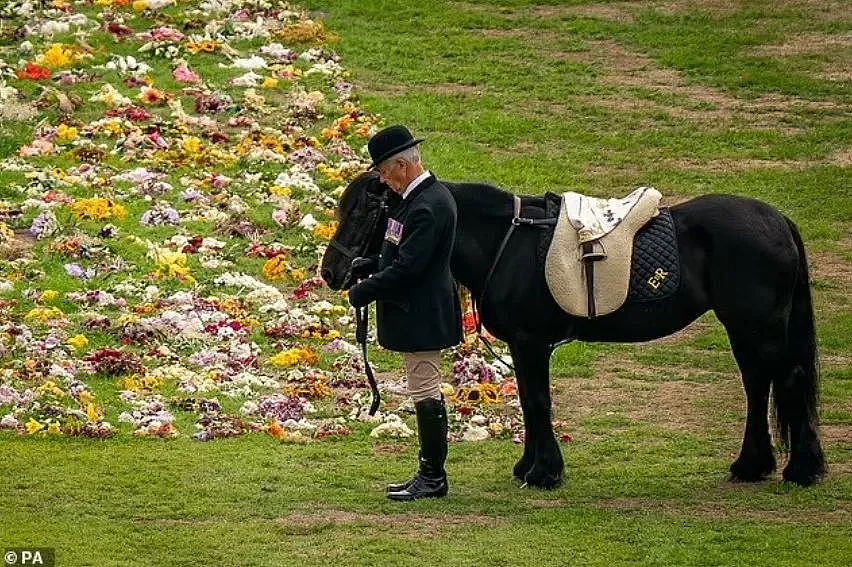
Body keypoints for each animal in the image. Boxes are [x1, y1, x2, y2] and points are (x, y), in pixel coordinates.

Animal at [324, 173, 824, 488]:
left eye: (362, 211)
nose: (332, 272)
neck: (506, 241)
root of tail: (777, 221)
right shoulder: (523, 344)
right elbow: (531, 402)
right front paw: (530, 467)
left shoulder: (530, 342)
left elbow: (537, 402)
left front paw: (543, 473)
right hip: (744, 327)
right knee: (758, 384)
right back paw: (752, 465)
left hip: (758, 325)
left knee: (787, 380)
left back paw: (802, 469)